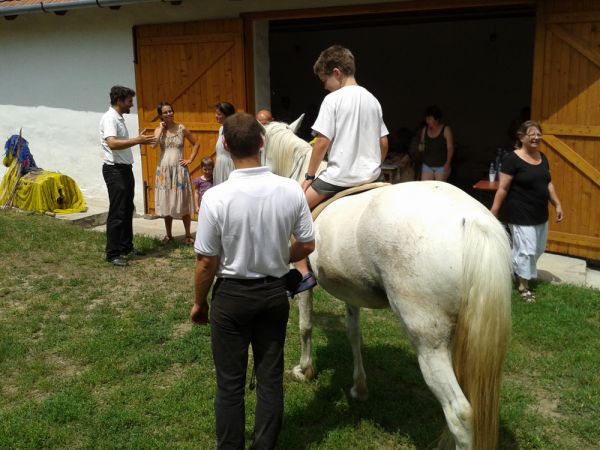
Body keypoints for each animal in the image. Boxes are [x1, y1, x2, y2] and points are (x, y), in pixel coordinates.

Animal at [264, 122, 512, 450]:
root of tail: (472, 220)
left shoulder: (302, 279)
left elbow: (305, 326)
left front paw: (304, 370)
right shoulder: (349, 289)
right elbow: (353, 333)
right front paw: (359, 388)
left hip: (428, 340)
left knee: (460, 412)